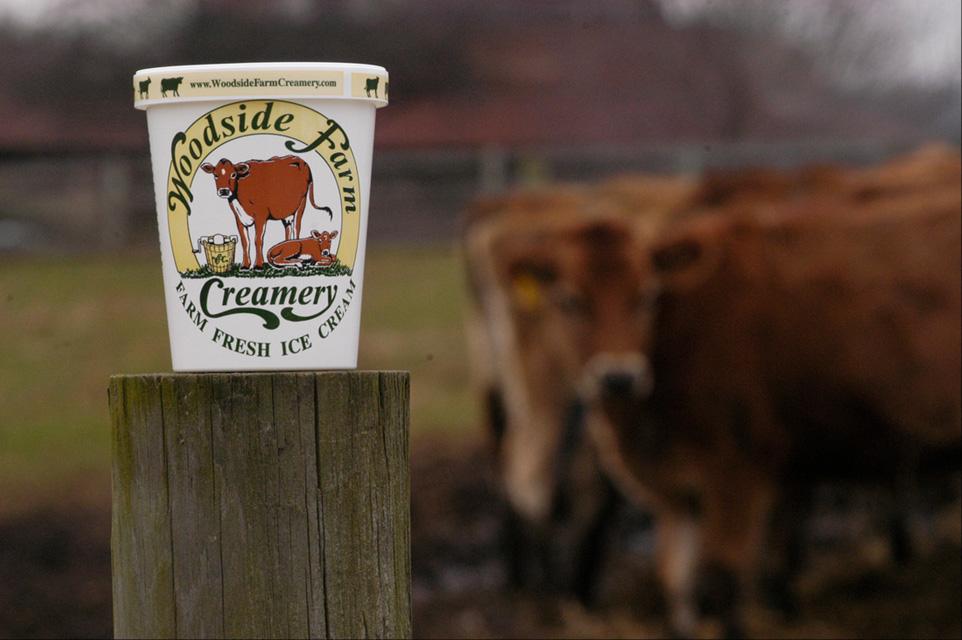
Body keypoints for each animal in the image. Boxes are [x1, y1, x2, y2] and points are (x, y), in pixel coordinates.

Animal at [200, 156, 334, 268]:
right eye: (215, 175)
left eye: (233, 174)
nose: (224, 191)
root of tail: (300, 160)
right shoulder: (239, 218)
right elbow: (245, 242)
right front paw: (245, 265)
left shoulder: (261, 216)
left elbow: (257, 240)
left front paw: (258, 265)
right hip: (285, 211)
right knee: (288, 229)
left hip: (301, 204)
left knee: (296, 228)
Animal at [584, 184, 960, 636]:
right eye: (570, 301)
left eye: (647, 296)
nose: (616, 376)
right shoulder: (681, 494)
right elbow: (679, 581)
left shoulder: (735, 470)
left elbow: (725, 576)